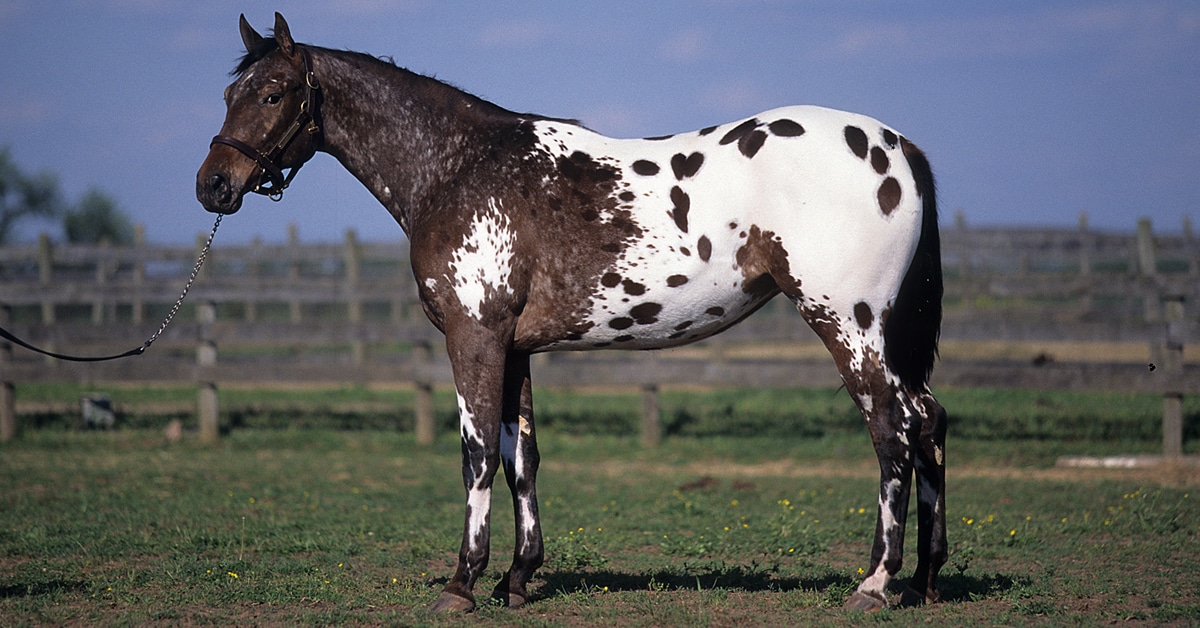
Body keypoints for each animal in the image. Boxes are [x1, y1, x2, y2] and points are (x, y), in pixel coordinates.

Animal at [194, 13, 945, 614]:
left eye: (272, 93)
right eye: (228, 95)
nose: (212, 186)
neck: (458, 167)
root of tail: (898, 146)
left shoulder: (474, 337)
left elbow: (476, 456)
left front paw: (462, 585)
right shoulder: (514, 348)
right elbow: (521, 456)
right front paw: (517, 579)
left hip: (848, 324)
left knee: (892, 432)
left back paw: (874, 584)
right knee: (929, 423)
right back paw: (925, 580)